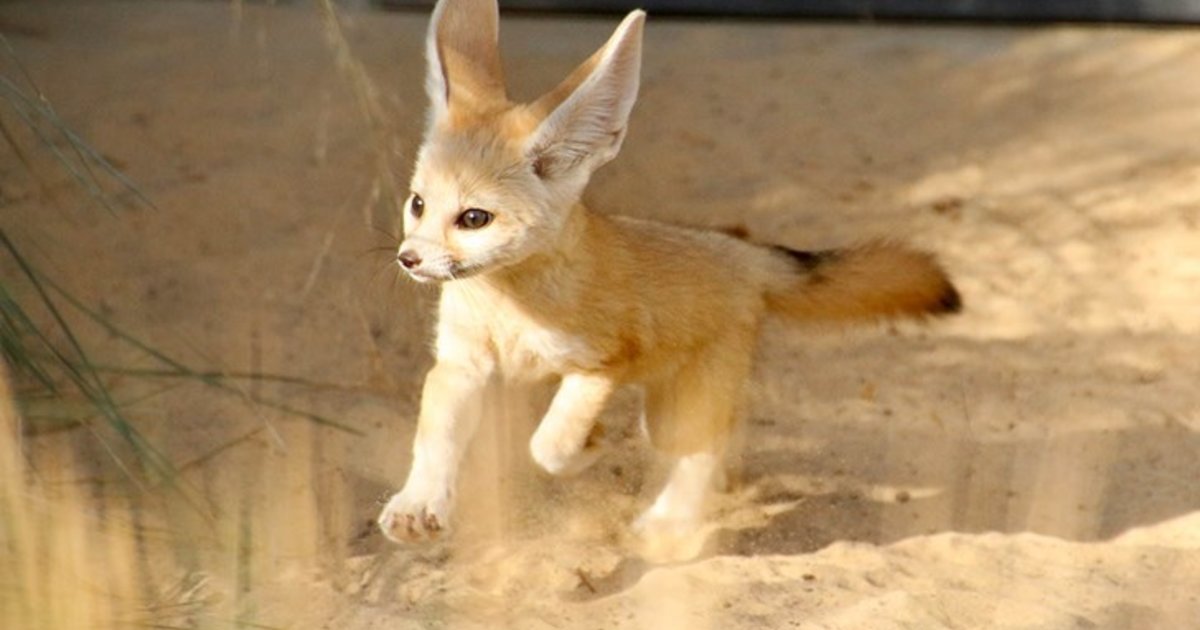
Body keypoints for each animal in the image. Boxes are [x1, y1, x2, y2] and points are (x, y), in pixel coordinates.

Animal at [374, 0, 955, 552]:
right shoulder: (462, 365)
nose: (408, 259)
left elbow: (550, 445)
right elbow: (435, 440)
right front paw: (417, 505)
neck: (508, 308)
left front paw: (591, 443)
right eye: (418, 204)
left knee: (702, 448)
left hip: (673, 417)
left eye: (474, 219)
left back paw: (670, 524)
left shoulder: (600, 365)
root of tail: (743, 252)